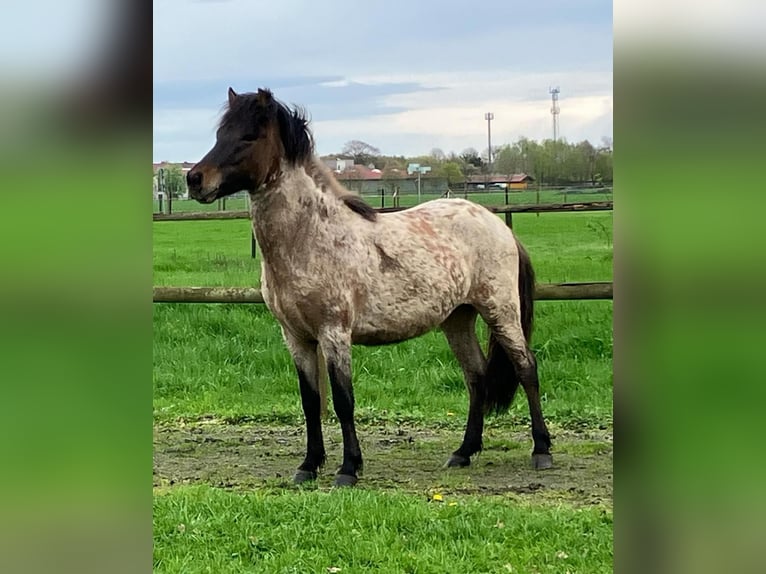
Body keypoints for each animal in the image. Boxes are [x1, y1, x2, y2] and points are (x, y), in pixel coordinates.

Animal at [187, 87, 552, 487]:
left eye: (249, 136)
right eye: (220, 133)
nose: (195, 179)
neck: (309, 237)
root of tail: (497, 224)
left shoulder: (334, 333)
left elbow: (344, 400)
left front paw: (348, 469)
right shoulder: (296, 337)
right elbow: (310, 401)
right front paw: (308, 466)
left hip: (500, 310)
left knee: (526, 368)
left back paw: (541, 450)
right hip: (457, 319)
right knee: (476, 376)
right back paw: (463, 452)